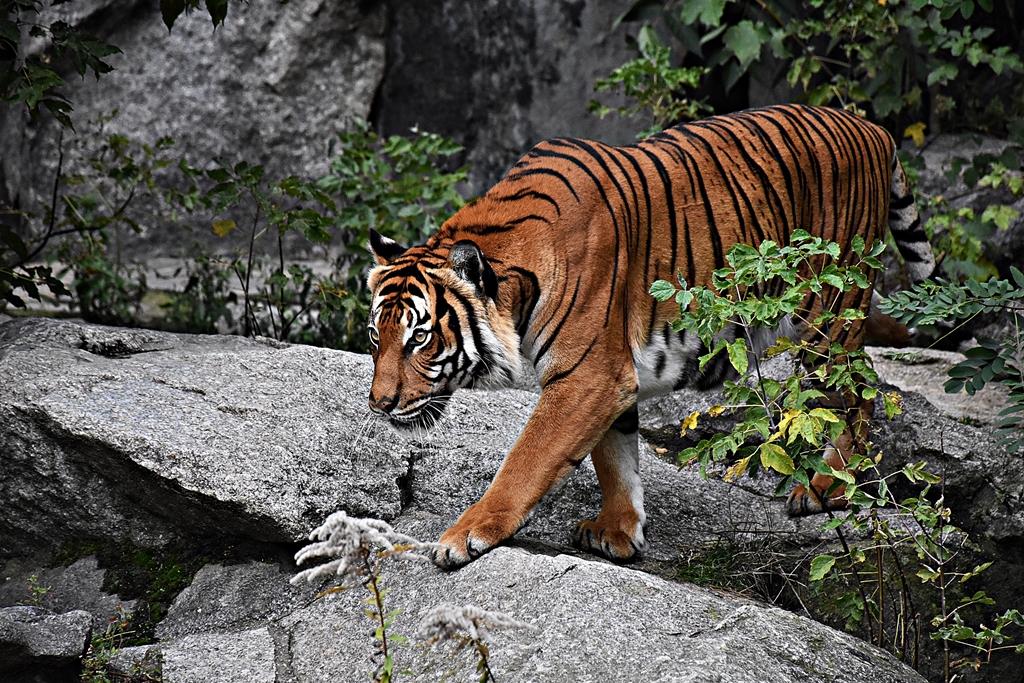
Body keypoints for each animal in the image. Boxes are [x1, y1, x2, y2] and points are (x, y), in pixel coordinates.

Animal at [365, 104, 933, 568]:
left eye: (420, 339)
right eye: (376, 337)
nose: (378, 404)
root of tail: (872, 128)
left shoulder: (587, 376)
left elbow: (527, 461)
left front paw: (463, 536)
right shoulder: (609, 377)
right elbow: (615, 458)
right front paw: (618, 532)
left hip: (828, 315)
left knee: (861, 387)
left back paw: (828, 486)